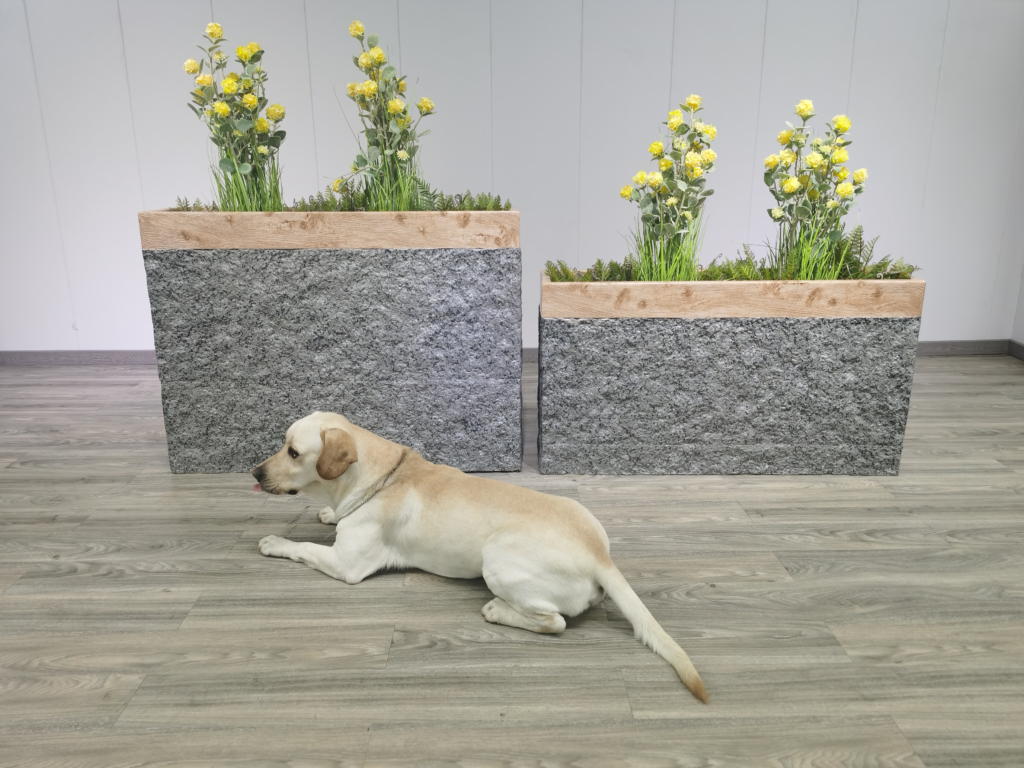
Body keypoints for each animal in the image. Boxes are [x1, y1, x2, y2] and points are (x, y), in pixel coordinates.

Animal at [252, 411, 707, 703]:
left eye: (292, 452)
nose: (255, 472)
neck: (378, 476)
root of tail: (601, 558)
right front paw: (329, 513)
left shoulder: (346, 563)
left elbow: (304, 547)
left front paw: (274, 542)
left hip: (498, 562)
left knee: (554, 622)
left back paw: (499, 610)